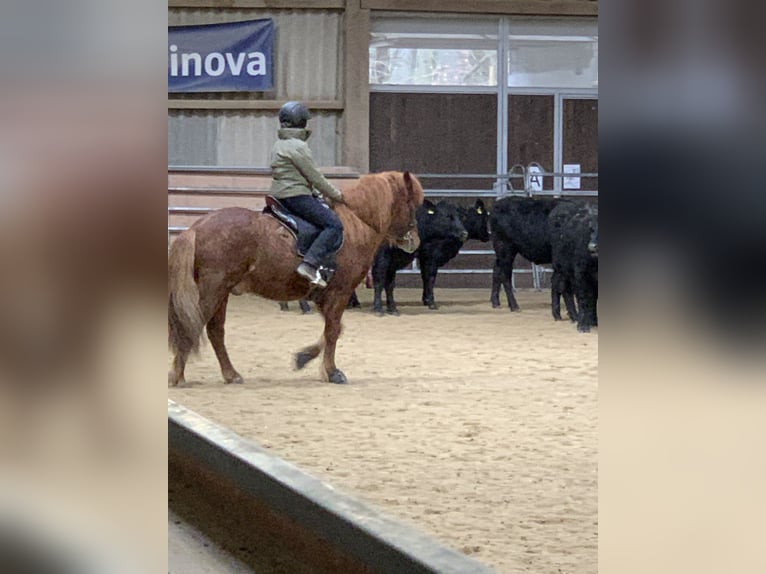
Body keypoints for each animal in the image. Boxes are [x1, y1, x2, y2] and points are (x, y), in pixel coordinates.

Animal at [167, 171, 426, 388]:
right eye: (411, 204)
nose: (414, 241)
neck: (355, 224)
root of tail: (197, 228)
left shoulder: (324, 296)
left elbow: (334, 330)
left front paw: (303, 359)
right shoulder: (340, 292)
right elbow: (333, 331)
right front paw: (332, 372)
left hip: (222, 292)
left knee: (215, 331)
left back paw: (231, 374)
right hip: (213, 289)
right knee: (193, 325)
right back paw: (177, 376)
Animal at [552, 205, 600, 336]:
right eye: (591, 229)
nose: (592, 246)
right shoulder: (581, 274)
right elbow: (583, 299)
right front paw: (583, 325)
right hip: (561, 269)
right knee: (562, 288)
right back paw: (570, 316)